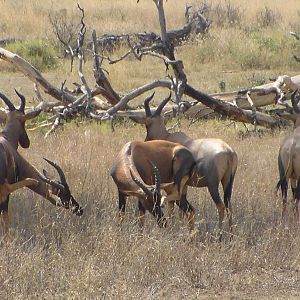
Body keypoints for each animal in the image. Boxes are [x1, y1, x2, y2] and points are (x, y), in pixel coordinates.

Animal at [142, 91, 238, 237]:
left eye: (147, 123)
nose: (146, 141)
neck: (168, 137)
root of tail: (229, 152)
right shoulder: (184, 185)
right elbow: (180, 211)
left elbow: (172, 207)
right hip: (228, 181)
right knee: (229, 205)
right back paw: (231, 235)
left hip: (212, 185)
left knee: (220, 206)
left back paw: (219, 236)